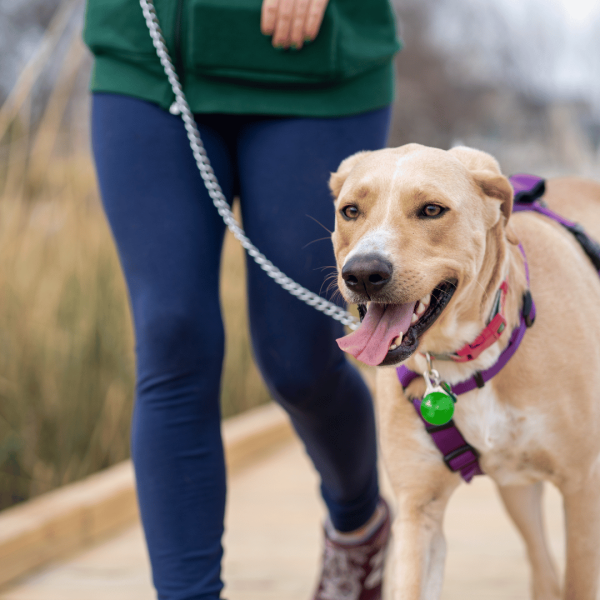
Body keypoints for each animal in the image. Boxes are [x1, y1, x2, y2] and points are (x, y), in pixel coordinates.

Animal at [330, 145, 600, 600]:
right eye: (350, 210)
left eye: (431, 209)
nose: (363, 273)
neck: (461, 360)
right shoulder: (419, 509)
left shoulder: (582, 488)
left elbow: (580, 581)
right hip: (516, 487)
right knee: (542, 569)